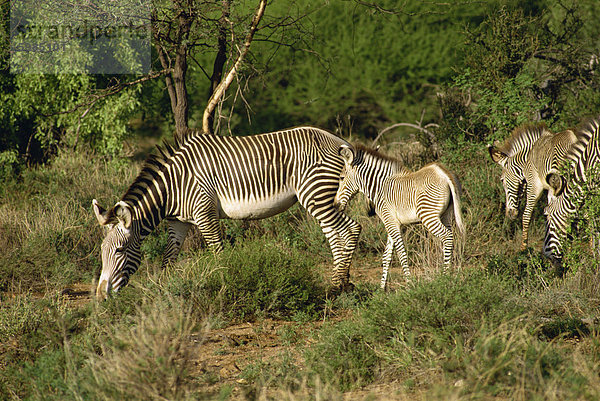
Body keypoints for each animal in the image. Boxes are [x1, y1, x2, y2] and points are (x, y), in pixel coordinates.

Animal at [92, 126, 360, 298]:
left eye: (119, 250)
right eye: (102, 251)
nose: (101, 296)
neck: (174, 186)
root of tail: (341, 141)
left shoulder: (205, 214)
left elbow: (218, 253)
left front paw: (225, 284)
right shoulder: (178, 222)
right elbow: (169, 257)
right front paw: (164, 290)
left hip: (316, 193)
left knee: (350, 229)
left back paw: (338, 286)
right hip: (322, 196)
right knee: (336, 234)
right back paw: (344, 282)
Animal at [332, 144, 464, 288]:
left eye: (341, 178)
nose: (335, 205)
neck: (380, 188)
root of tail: (443, 173)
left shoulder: (390, 222)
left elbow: (401, 253)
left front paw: (410, 284)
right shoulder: (391, 222)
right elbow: (386, 256)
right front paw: (382, 288)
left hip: (428, 216)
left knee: (447, 236)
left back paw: (446, 277)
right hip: (446, 214)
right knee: (449, 239)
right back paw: (448, 273)